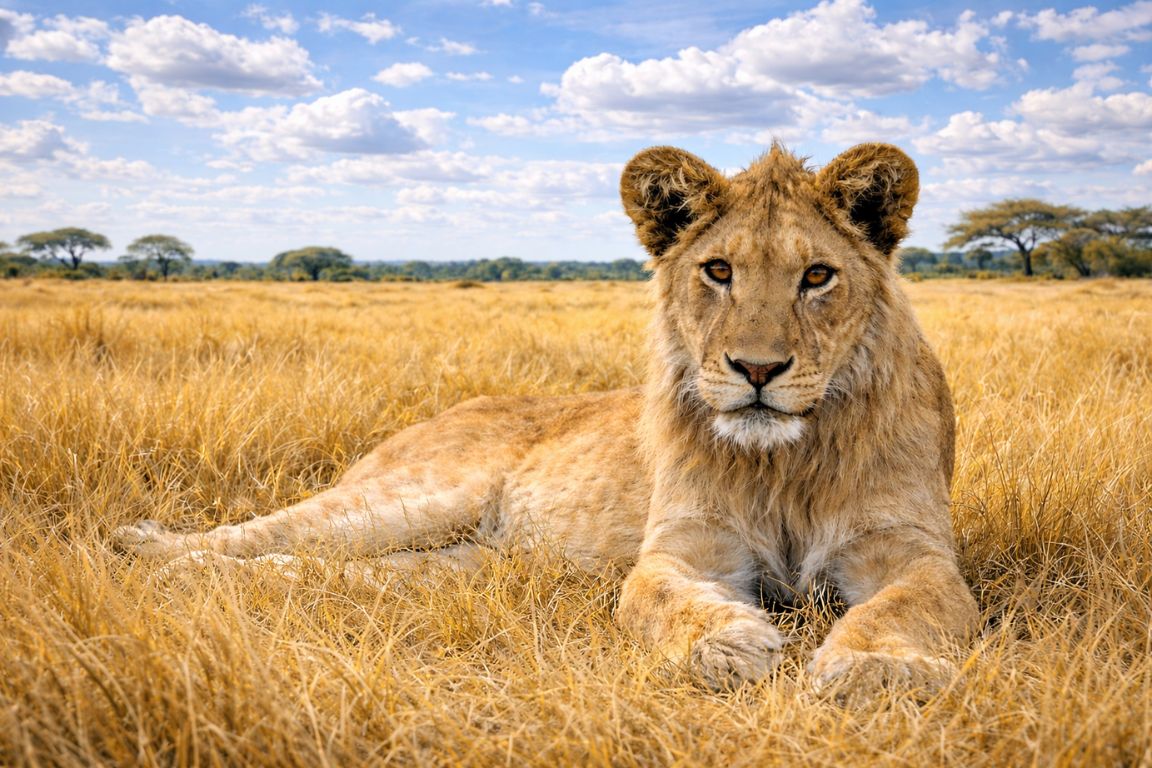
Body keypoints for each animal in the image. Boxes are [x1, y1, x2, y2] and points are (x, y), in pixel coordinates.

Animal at [114, 142, 979, 694]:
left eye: (818, 276)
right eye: (718, 270)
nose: (758, 370)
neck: (786, 459)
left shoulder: (911, 552)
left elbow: (907, 605)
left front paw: (876, 668)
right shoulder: (681, 550)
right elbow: (659, 600)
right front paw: (726, 644)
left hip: (464, 562)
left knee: (318, 569)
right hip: (415, 495)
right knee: (272, 532)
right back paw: (149, 551)